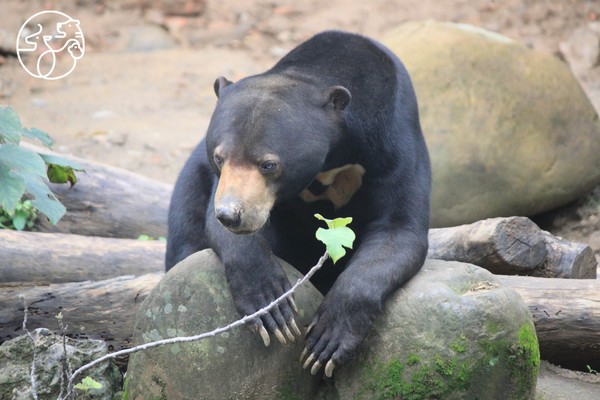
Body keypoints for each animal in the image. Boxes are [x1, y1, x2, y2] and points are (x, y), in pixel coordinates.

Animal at [165, 31, 432, 378]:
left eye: (269, 164)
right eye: (220, 158)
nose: (231, 215)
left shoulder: (394, 146)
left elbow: (398, 230)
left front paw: (327, 340)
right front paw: (271, 305)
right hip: (189, 184)